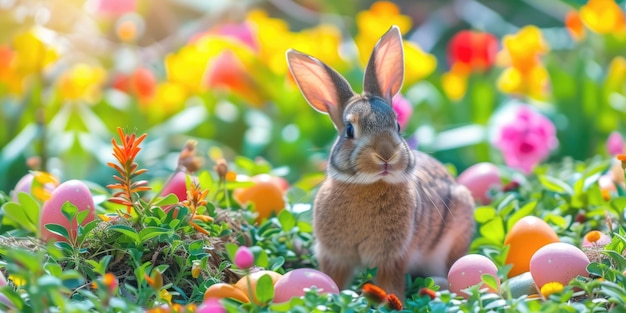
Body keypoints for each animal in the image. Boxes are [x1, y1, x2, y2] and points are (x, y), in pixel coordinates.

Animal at [286, 25, 476, 298]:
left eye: (397, 125)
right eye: (349, 130)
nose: (386, 154)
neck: (368, 184)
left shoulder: (393, 257)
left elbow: (389, 284)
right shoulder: (335, 256)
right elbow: (334, 278)